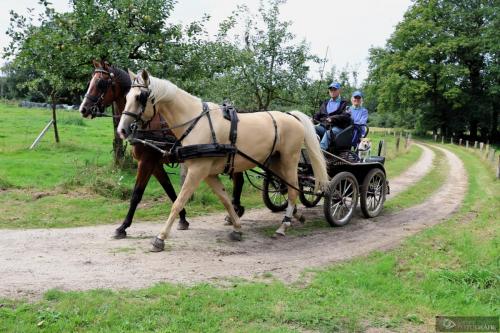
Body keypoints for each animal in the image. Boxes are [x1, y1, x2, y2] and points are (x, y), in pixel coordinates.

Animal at [79, 59, 245, 236]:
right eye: (90, 82)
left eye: (101, 83)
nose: (83, 109)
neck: (146, 123)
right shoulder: (156, 164)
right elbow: (170, 191)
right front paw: (183, 219)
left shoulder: (146, 161)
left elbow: (136, 194)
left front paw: (123, 226)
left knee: (238, 180)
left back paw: (235, 212)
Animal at [116, 70, 328, 252]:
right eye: (126, 96)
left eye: (140, 97)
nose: (122, 130)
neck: (195, 122)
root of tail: (292, 116)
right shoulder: (207, 173)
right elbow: (225, 199)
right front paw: (236, 228)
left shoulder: (196, 171)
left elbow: (177, 201)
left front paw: (159, 238)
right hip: (274, 162)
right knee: (284, 188)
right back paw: (296, 216)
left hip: (289, 161)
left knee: (293, 190)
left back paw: (283, 226)